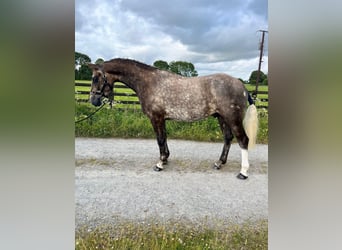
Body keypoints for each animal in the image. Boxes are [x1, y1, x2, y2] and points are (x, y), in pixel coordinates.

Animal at [87, 58, 258, 180]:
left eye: (96, 78)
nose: (93, 100)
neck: (149, 82)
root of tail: (242, 86)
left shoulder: (156, 118)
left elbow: (160, 139)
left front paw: (160, 164)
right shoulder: (162, 119)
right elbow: (164, 138)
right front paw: (165, 159)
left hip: (232, 118)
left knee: (243, 140)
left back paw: (243, 172)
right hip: (222, 118)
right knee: (228, 138)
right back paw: (219, 163)